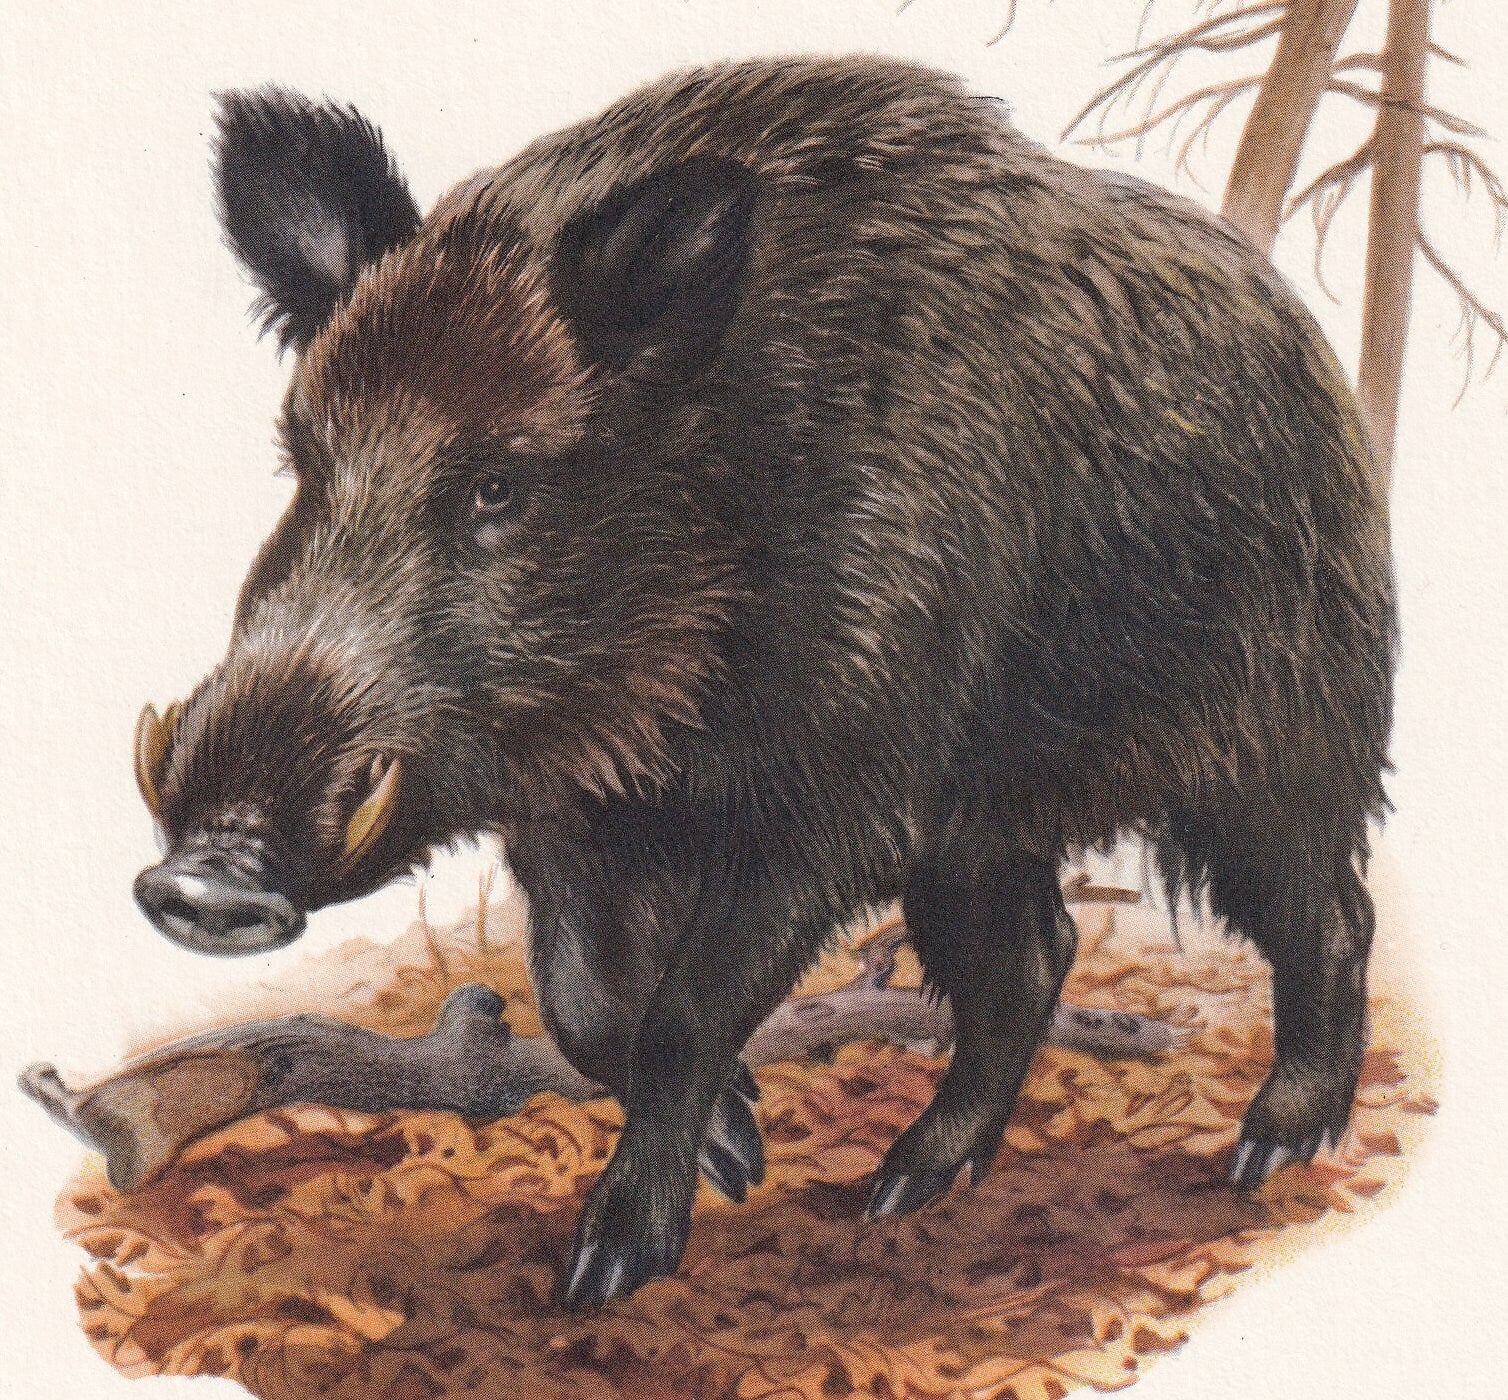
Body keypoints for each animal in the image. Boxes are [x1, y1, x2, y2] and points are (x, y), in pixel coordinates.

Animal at [131, 56, 1395, 1307]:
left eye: (498, 485)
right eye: (304, 459)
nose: (204, 875)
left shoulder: (828, 801)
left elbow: (685, 1010)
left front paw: (607, 1269)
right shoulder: (574, 819)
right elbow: (581, 1000)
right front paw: (739, 1147)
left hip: (1271, 736)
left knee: (1325, 912)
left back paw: (1269, 1148)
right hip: (978, 823)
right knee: (1034, 953)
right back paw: (903, 1185)